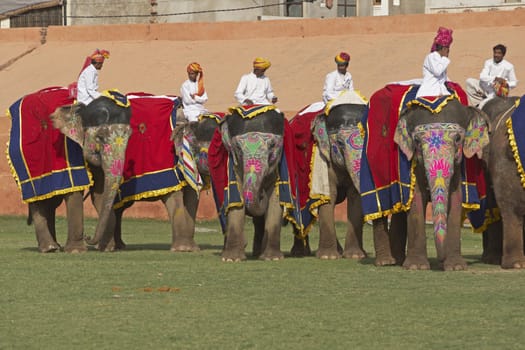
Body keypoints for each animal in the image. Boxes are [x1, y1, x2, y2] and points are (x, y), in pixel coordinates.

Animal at [209, 105, 298, 262]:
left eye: (272, 145)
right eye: (238, 148)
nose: (262, 193)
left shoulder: (280, 163)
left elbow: (276, 200)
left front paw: (272, 258)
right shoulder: (233, 164)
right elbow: (235, 198)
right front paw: (231, 259)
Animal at [396, 98, 490, 270]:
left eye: (458, 139)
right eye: (417, 141)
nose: (440, 259)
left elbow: (456, 198)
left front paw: (456, 267)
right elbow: (415, 199)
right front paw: (416, 267)